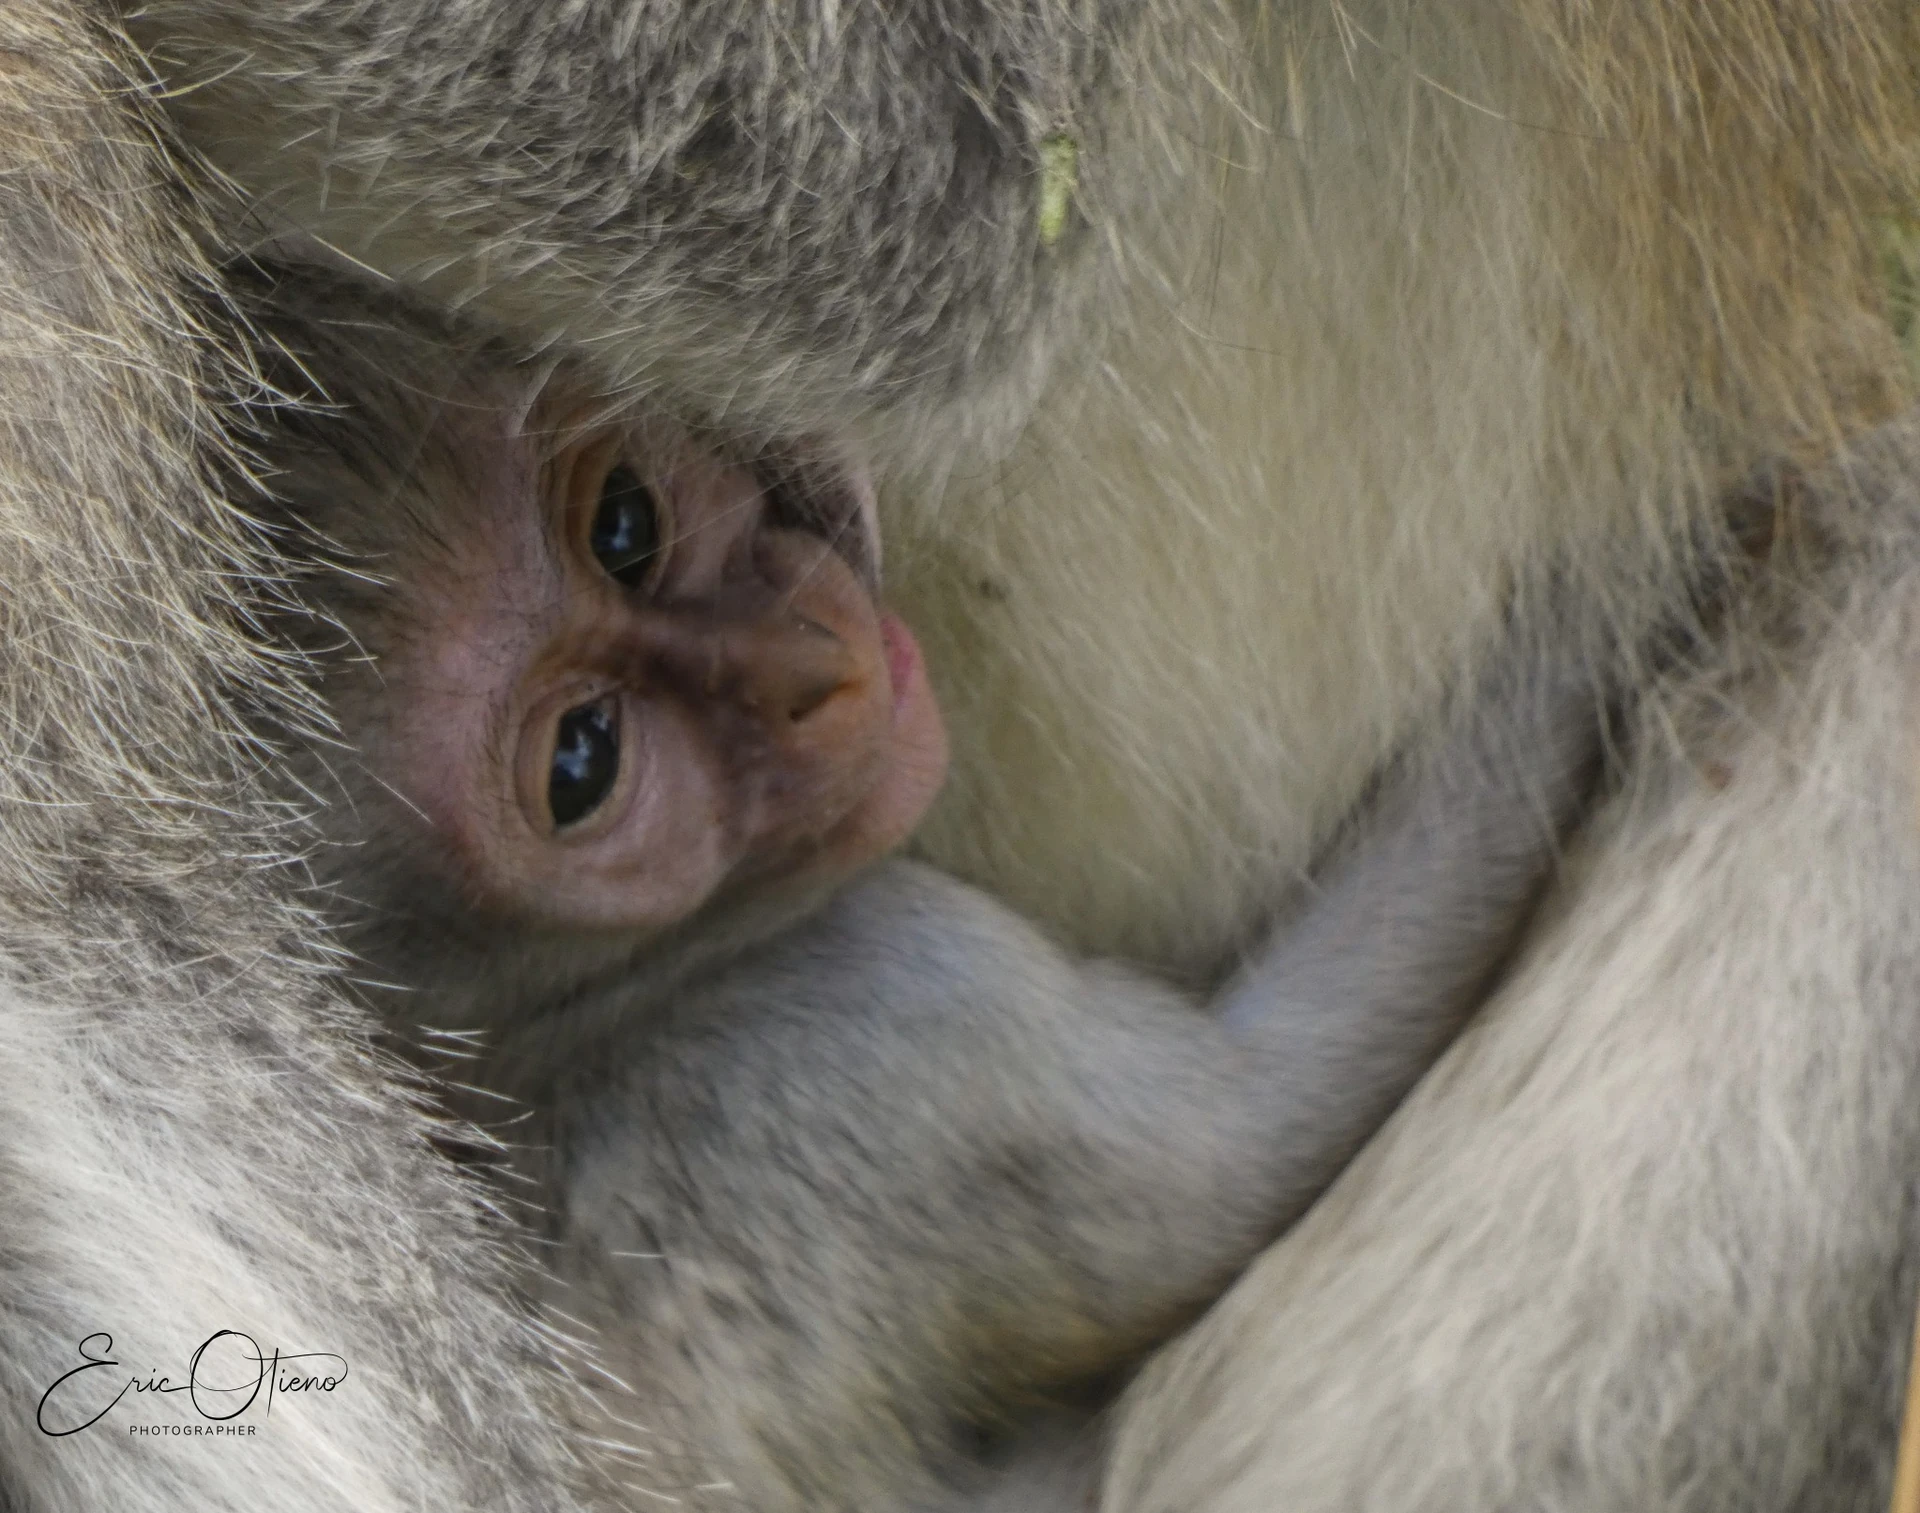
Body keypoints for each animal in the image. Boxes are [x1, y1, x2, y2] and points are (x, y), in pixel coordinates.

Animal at [246, 264, 1607, 1510]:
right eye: (584, 761)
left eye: (624, 527)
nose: (808, 668)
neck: (552, 1039)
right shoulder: (875, 1015)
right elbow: (1270, 1114)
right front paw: (1619, 591)